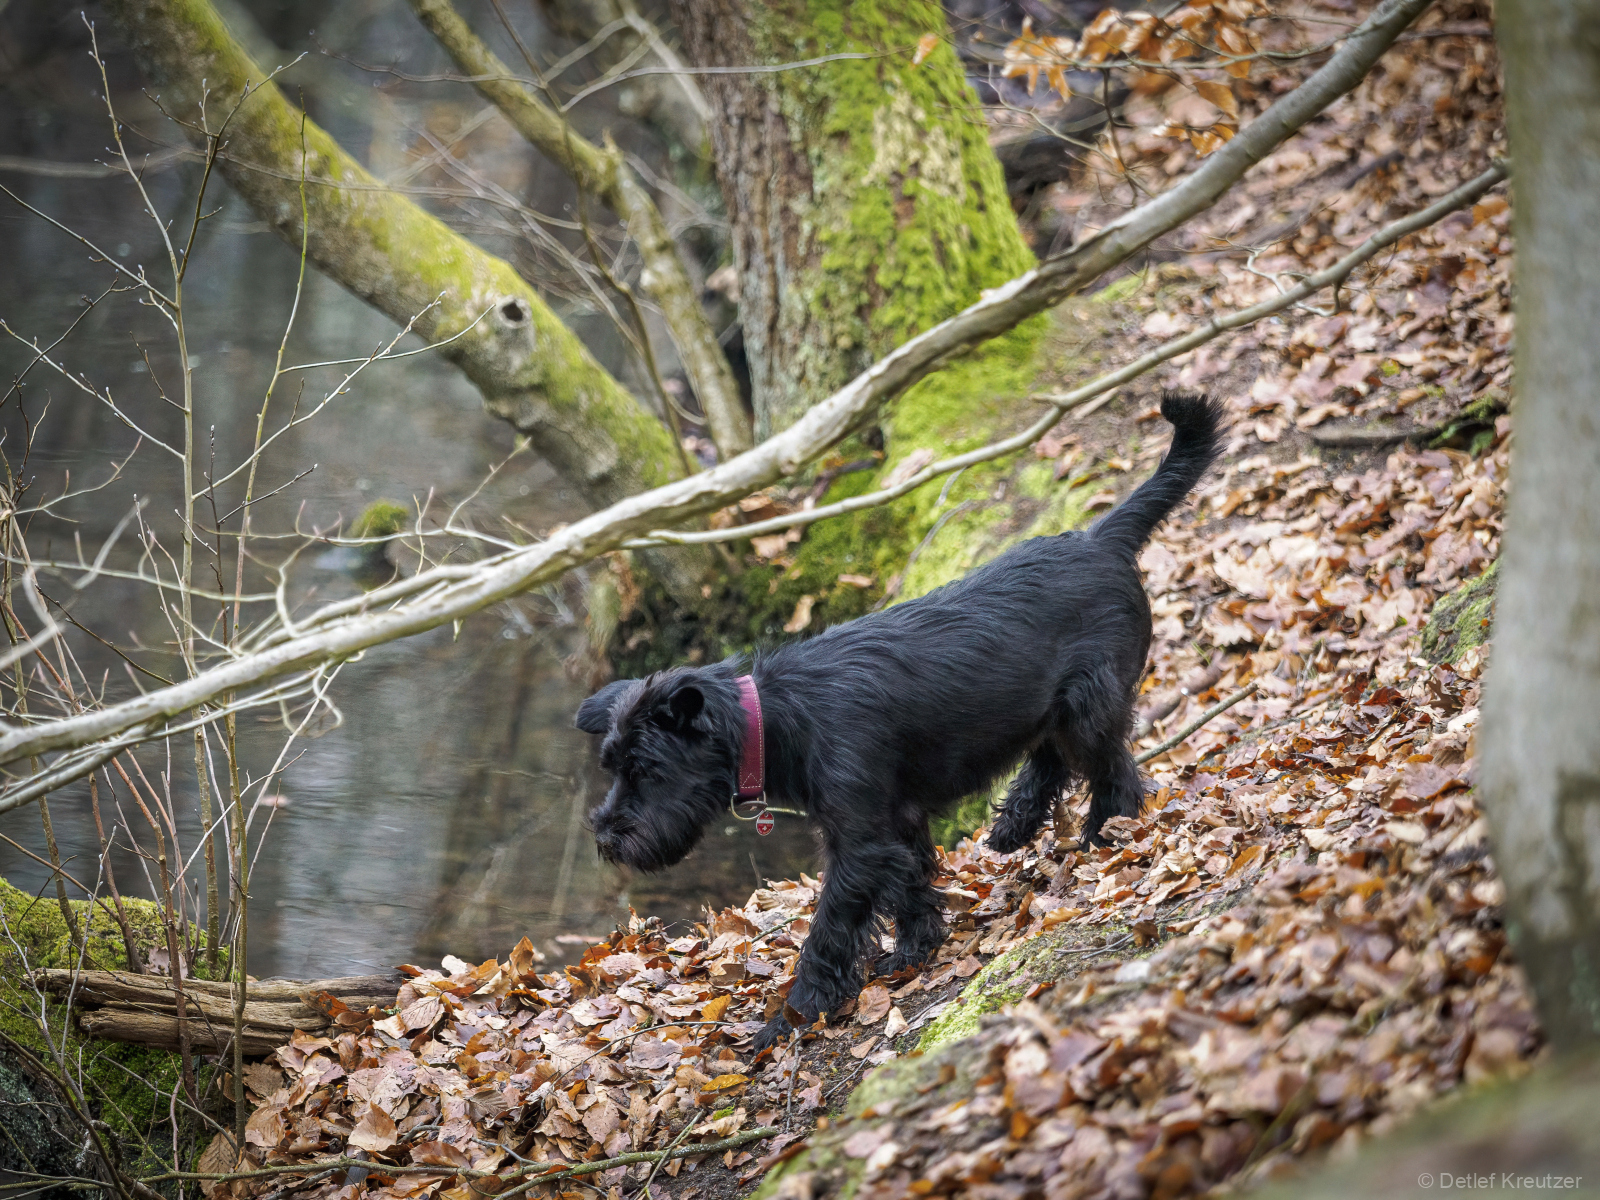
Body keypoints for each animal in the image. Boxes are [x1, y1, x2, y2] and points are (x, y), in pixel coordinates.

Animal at [574, 392, 1222, 1048]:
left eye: (647, 770)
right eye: (612, 768)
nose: (604, 837)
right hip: (1054, 706)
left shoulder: (858, 845)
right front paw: (916, 948)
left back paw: (1103, 838)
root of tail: (1101, 538)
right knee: (1051, 756)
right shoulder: (895, 822)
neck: (774, 723)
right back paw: (1014, 824)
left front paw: (790, 1016)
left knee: (1114, 772)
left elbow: (830, 930)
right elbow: (910, 884)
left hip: (1088, 709)